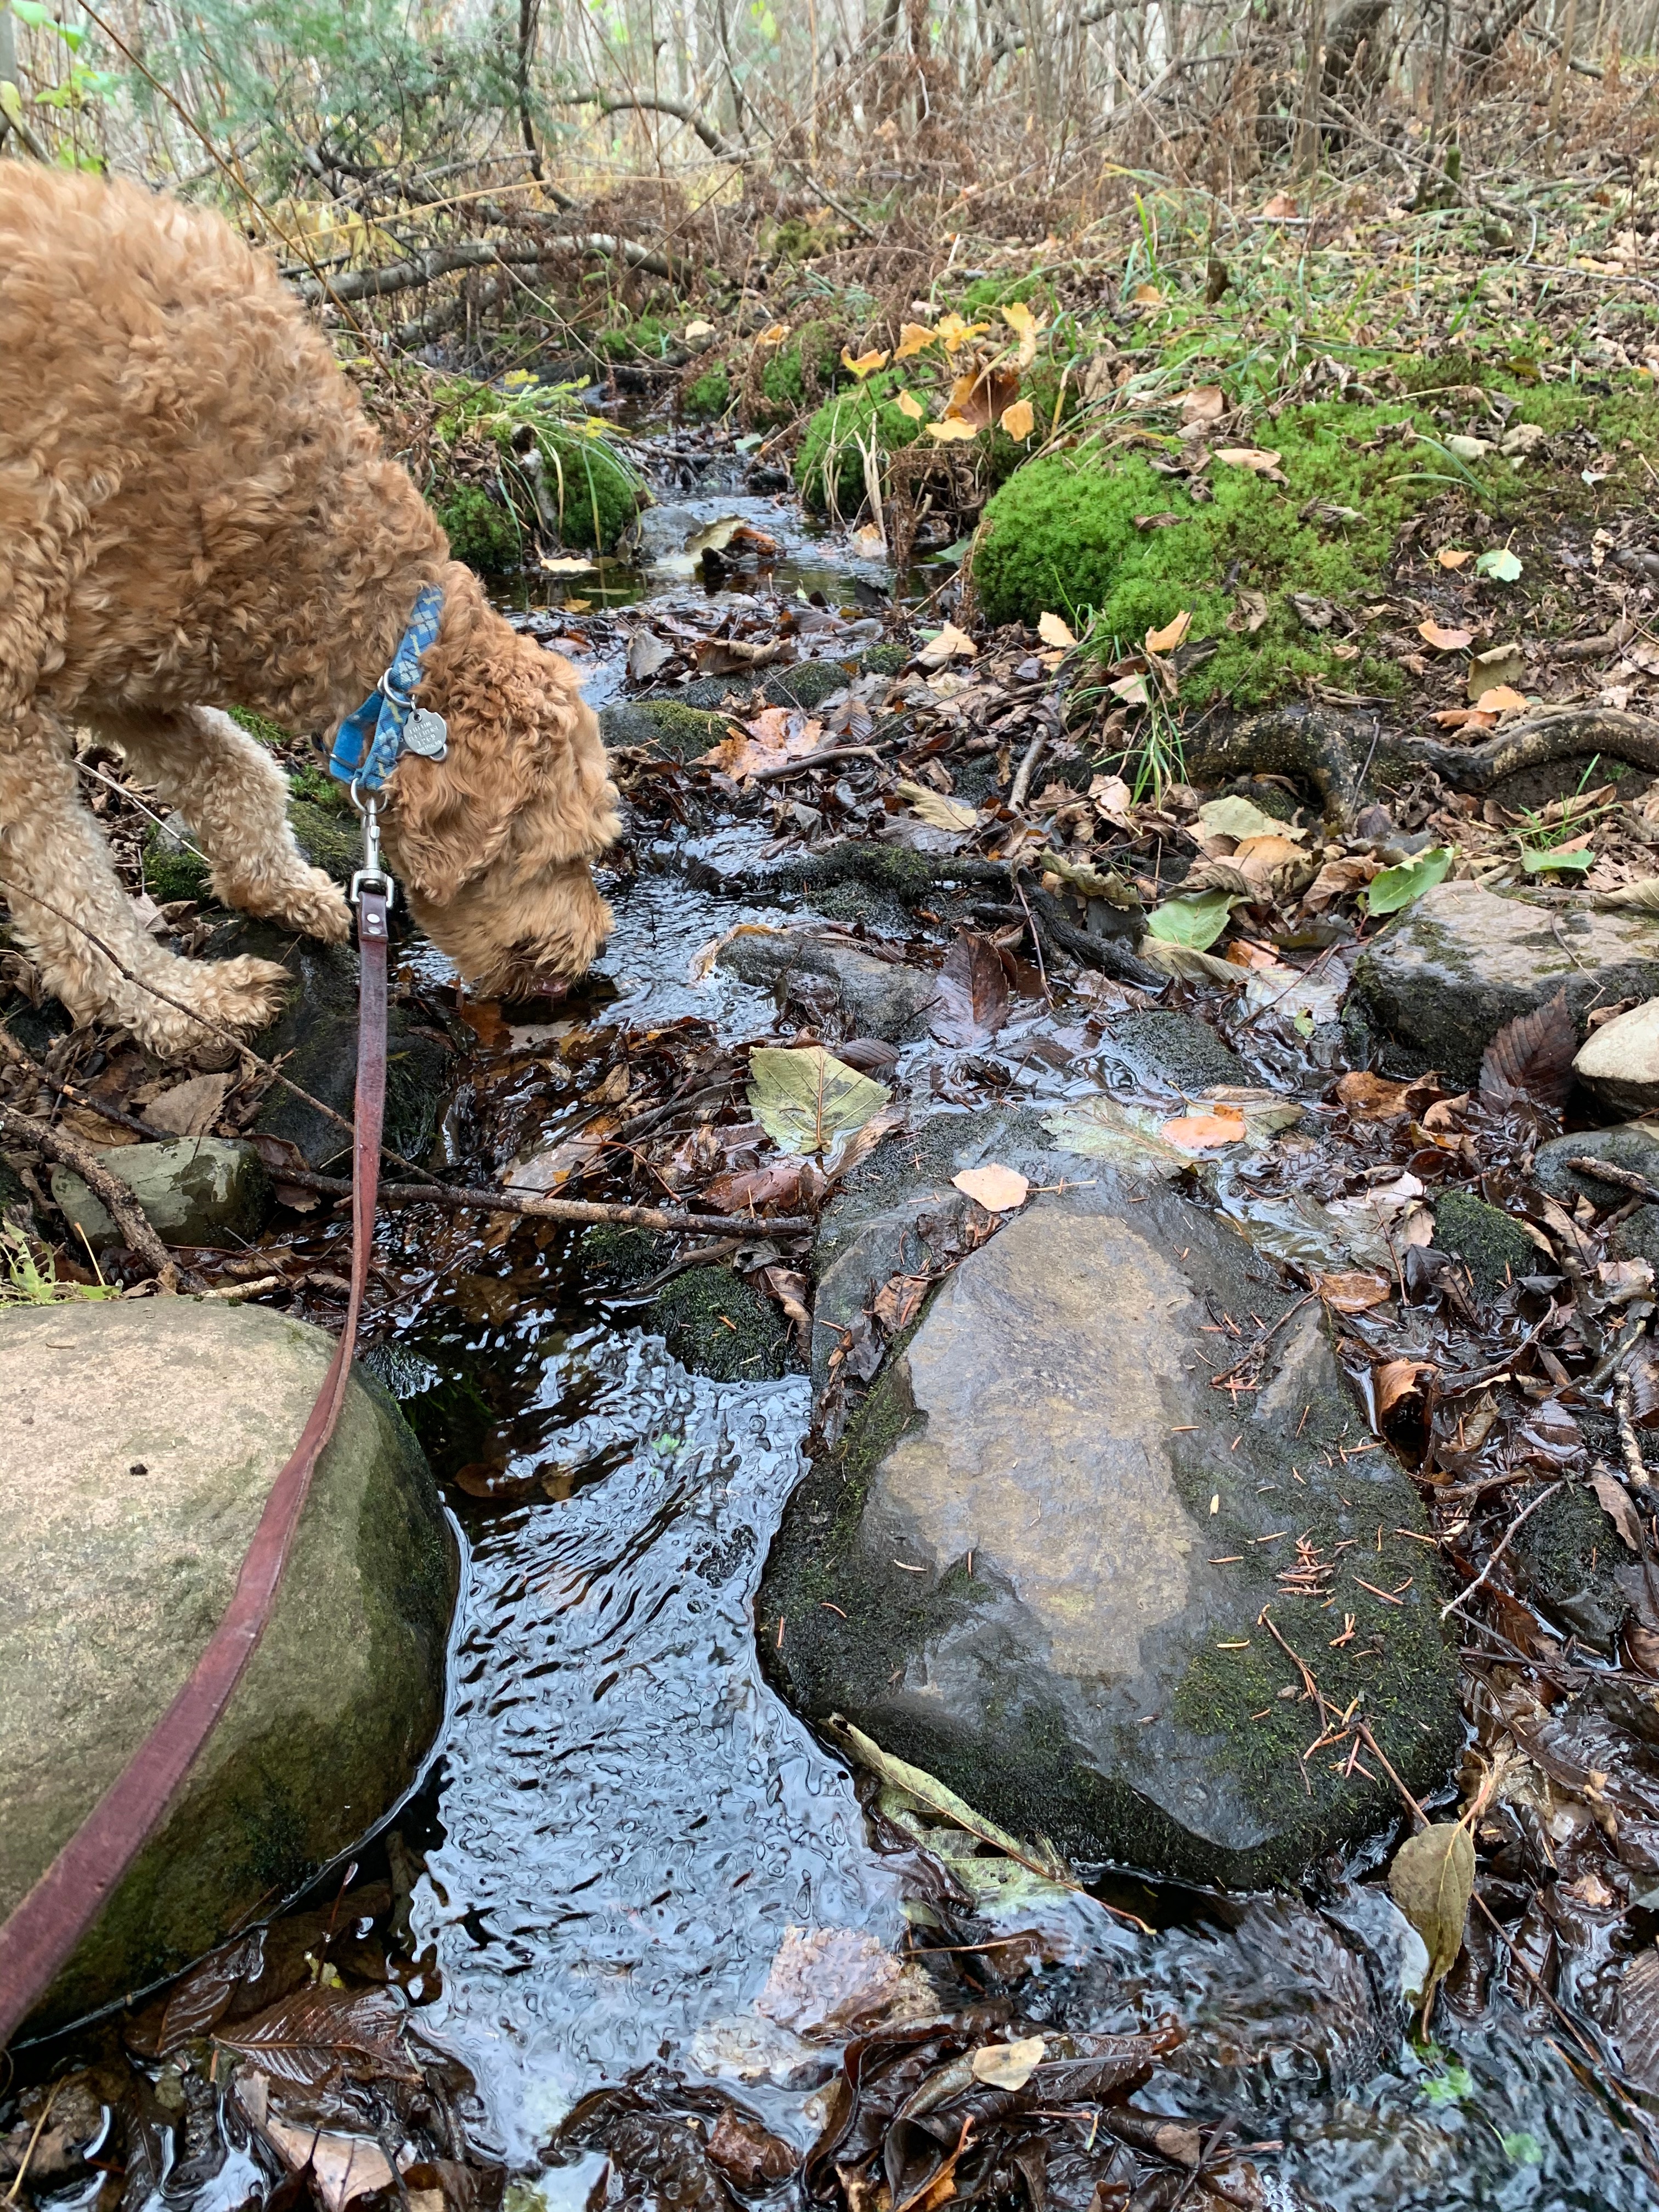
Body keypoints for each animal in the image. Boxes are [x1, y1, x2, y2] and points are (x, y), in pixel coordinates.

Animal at [0, 163, 620, 1058]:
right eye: (565, 856)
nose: (595, 951)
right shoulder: (14, 691)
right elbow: (72, 888)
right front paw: (179, 1003)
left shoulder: (122, 667)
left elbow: (242, 771)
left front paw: (287, 891)